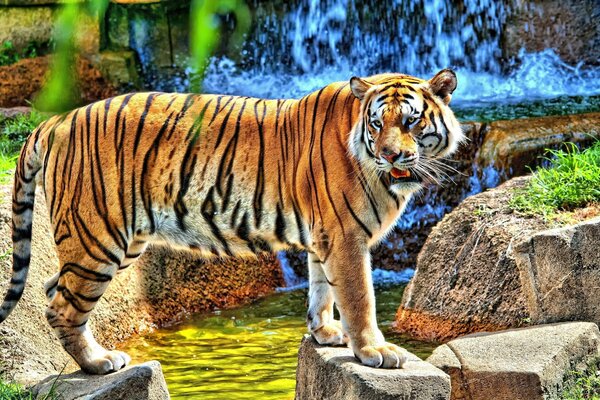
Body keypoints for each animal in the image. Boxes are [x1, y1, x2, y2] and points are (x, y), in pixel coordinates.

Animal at [0, 69, 462, 376]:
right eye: (377, 123)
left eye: (411, 121)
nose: (389, 154)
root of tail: (56, 120)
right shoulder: (345, 236)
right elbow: (358, 297)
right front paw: (373, 350)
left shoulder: (325, 235)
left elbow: (321, 289)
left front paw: (326, 333)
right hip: (98, 238)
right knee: (62, 307)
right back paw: (99, 362)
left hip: (111, 241)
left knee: (52, 288)